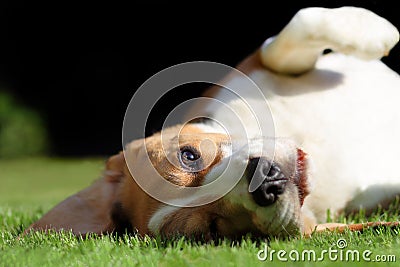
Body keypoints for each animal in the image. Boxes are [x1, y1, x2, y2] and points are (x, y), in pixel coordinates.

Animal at [26, 6, 400, 241]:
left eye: (188, 156)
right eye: (213, 231)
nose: (265, 182)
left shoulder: (252, 68)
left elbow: (295, 29)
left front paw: (373, 31)